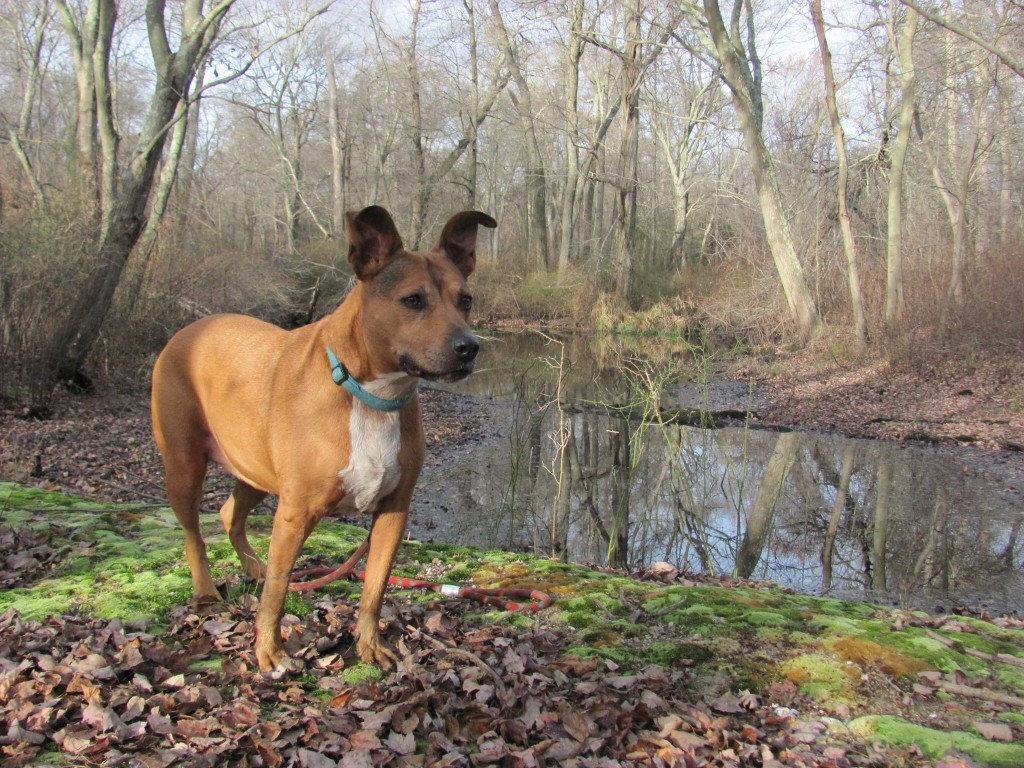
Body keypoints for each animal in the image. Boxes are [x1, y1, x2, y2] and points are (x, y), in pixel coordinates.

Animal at [150, 207, 495, 675]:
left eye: (466, 300)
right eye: (413, 300)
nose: (469, 347)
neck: (369, 395)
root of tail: (188, 329)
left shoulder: (393, 512)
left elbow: (373, 591)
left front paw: (369, 645)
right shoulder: (296, 514)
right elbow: (277, 594)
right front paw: (269, 650)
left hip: (254, 473)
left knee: (228, 514)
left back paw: (252, 567)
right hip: (184, 466)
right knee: (193, 534)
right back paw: (206, 591)